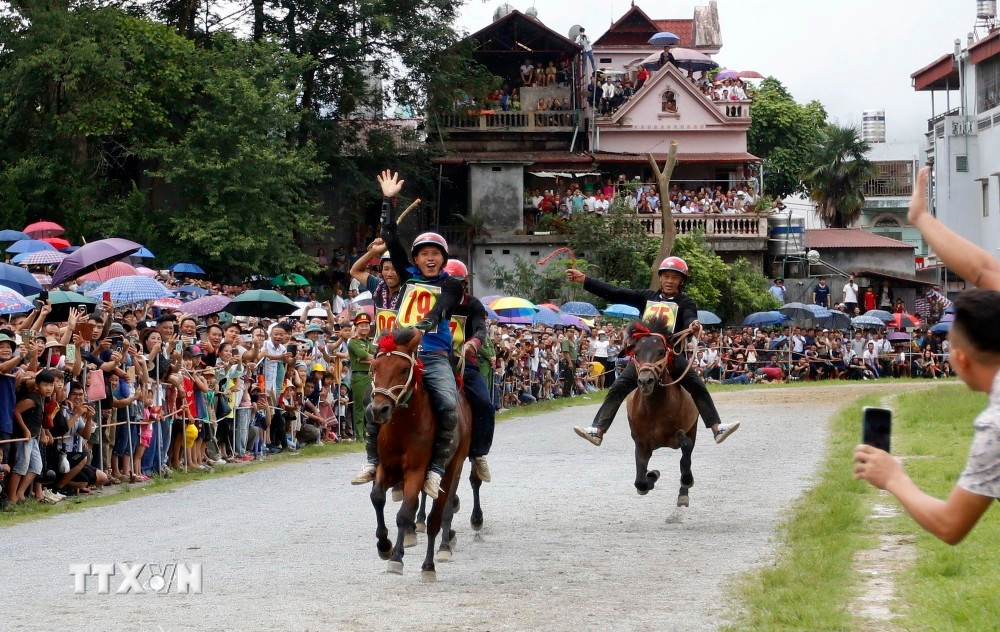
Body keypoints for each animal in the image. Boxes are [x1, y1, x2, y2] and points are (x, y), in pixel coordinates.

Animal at [368, 328, 472, 580]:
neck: (403, 424)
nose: (379, 410)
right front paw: (384, 545)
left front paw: (396, 558)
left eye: (404, 369)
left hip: (453, 465)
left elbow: (405, 513)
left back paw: (430, 563)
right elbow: (377, 497)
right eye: (375, 367)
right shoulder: (386, 466)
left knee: (439, 515)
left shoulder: (415, 471)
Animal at [624, 318, 696, 506]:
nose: (645, 381)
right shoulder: (641, 443)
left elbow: (686, 449)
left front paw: (686, 481)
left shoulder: (681, 434)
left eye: (662, 351)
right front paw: (652, 474)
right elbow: (640, 483)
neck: (655, 409)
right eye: (636, 352)